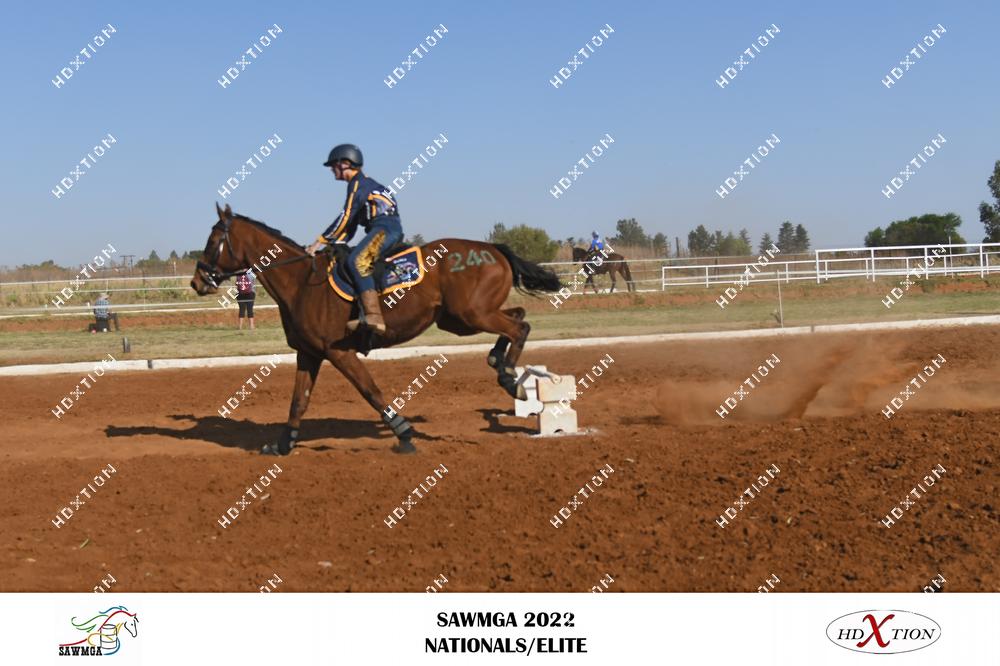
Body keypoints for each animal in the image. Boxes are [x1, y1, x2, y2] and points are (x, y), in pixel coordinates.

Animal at [191, 203, 563, 455]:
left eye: (213, 239)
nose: (197, 281)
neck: (301, 283)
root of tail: (492, 249)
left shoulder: (338, 351)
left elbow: (370, 391)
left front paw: (403, 433)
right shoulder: (309, 353)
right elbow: (298, 402)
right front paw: (283, 445)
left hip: (471, 315)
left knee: (520, 326)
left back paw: (510, 379)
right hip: (462, 319)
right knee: (518, 317)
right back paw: (499, 364)